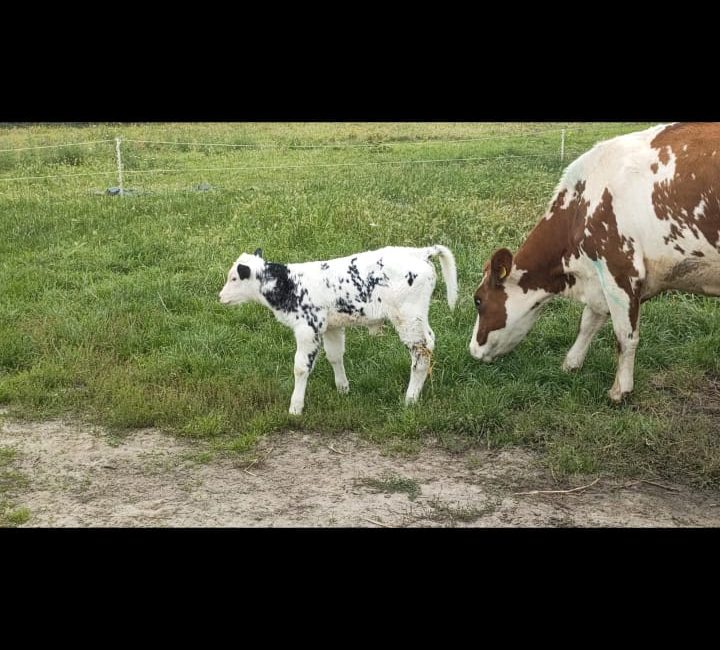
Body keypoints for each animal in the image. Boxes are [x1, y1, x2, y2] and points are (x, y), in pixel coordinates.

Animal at [217, 243, 458, 416]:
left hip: (408, 319)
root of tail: (419, 253)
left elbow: (300, 368)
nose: (220, 297)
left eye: (234, 278)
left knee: (421, 352)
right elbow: (335, 356)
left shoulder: (307, 329)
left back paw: (410, 399)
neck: (290, 284)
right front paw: (343, 389)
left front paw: (295, 407)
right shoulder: (331, 327)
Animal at [470, 121, 720, 400]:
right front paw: (571, 363)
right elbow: (588, 321)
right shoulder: (600, 277)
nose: (472, 350)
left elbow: (625, 335)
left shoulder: (621, 269)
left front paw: (620, 390)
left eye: (478, 300)